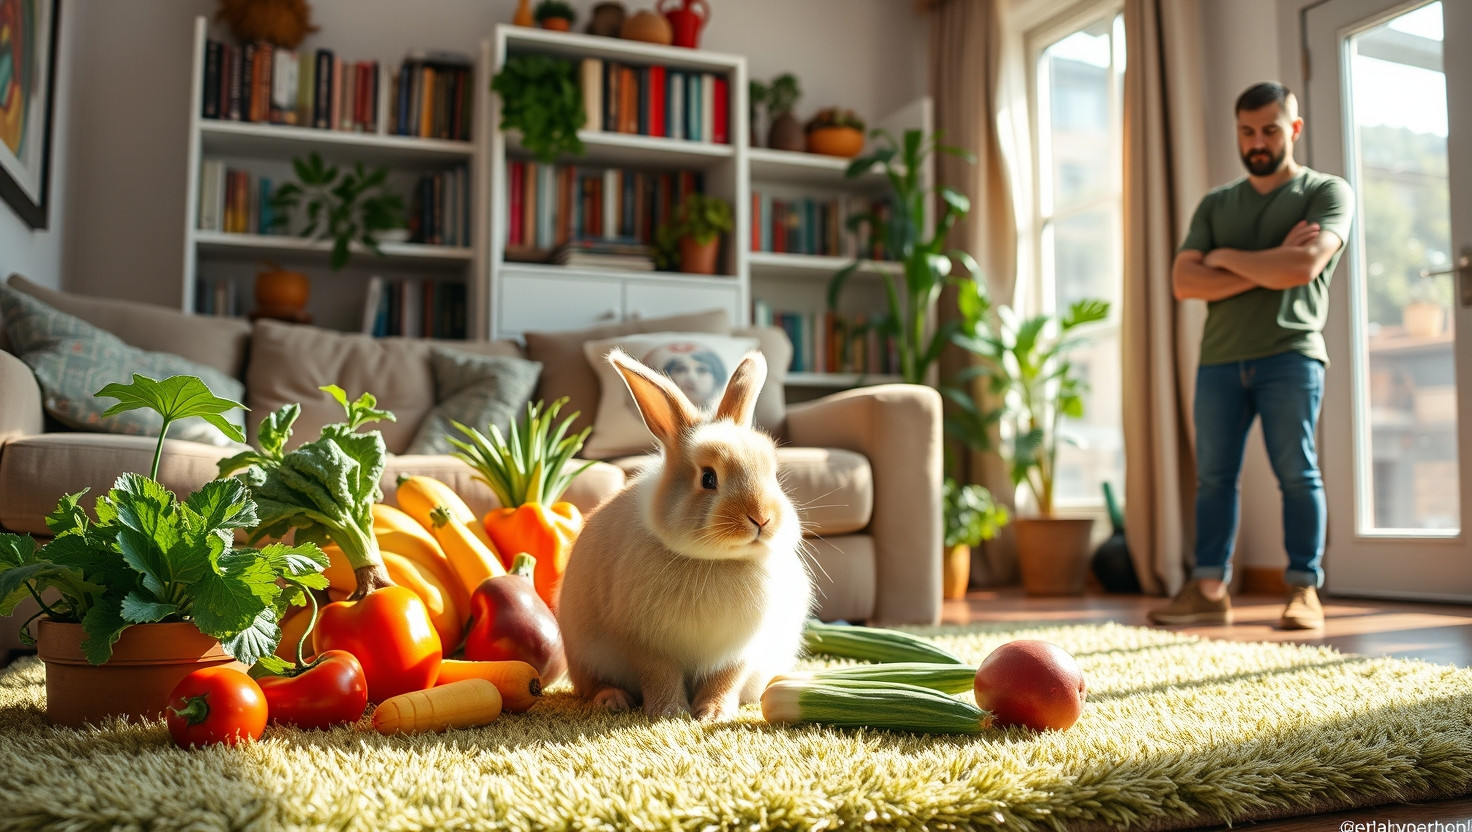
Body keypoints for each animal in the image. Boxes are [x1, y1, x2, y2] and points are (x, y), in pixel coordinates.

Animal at [556, 348, 814, 722]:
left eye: (774, 474)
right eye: (708, 478)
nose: (762, 518)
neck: (716, 561)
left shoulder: (738, 651)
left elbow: (725, 680)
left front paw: (713, 714)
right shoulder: (648, 646)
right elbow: (660, 676)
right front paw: (670, 713)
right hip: (585, 655)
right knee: (592, 685)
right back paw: (612, 700)